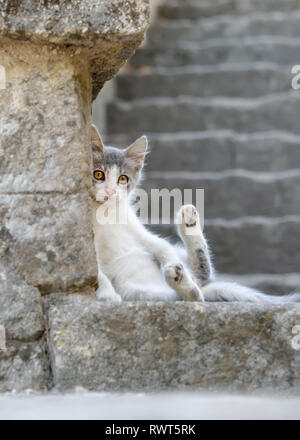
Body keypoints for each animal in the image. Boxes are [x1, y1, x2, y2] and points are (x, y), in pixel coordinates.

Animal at [92, 124, 300, 302]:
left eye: (123, 178)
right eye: (98, 175)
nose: (110, 191)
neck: (105, 214)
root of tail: (204, 288)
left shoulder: (139, 231)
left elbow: (161, 246)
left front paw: (170, 262)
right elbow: (98, 274)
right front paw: (108, 295)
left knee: (201, 277)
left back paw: (187, 232)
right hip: (139, 292)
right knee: (191, 296)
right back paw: (183, 283)